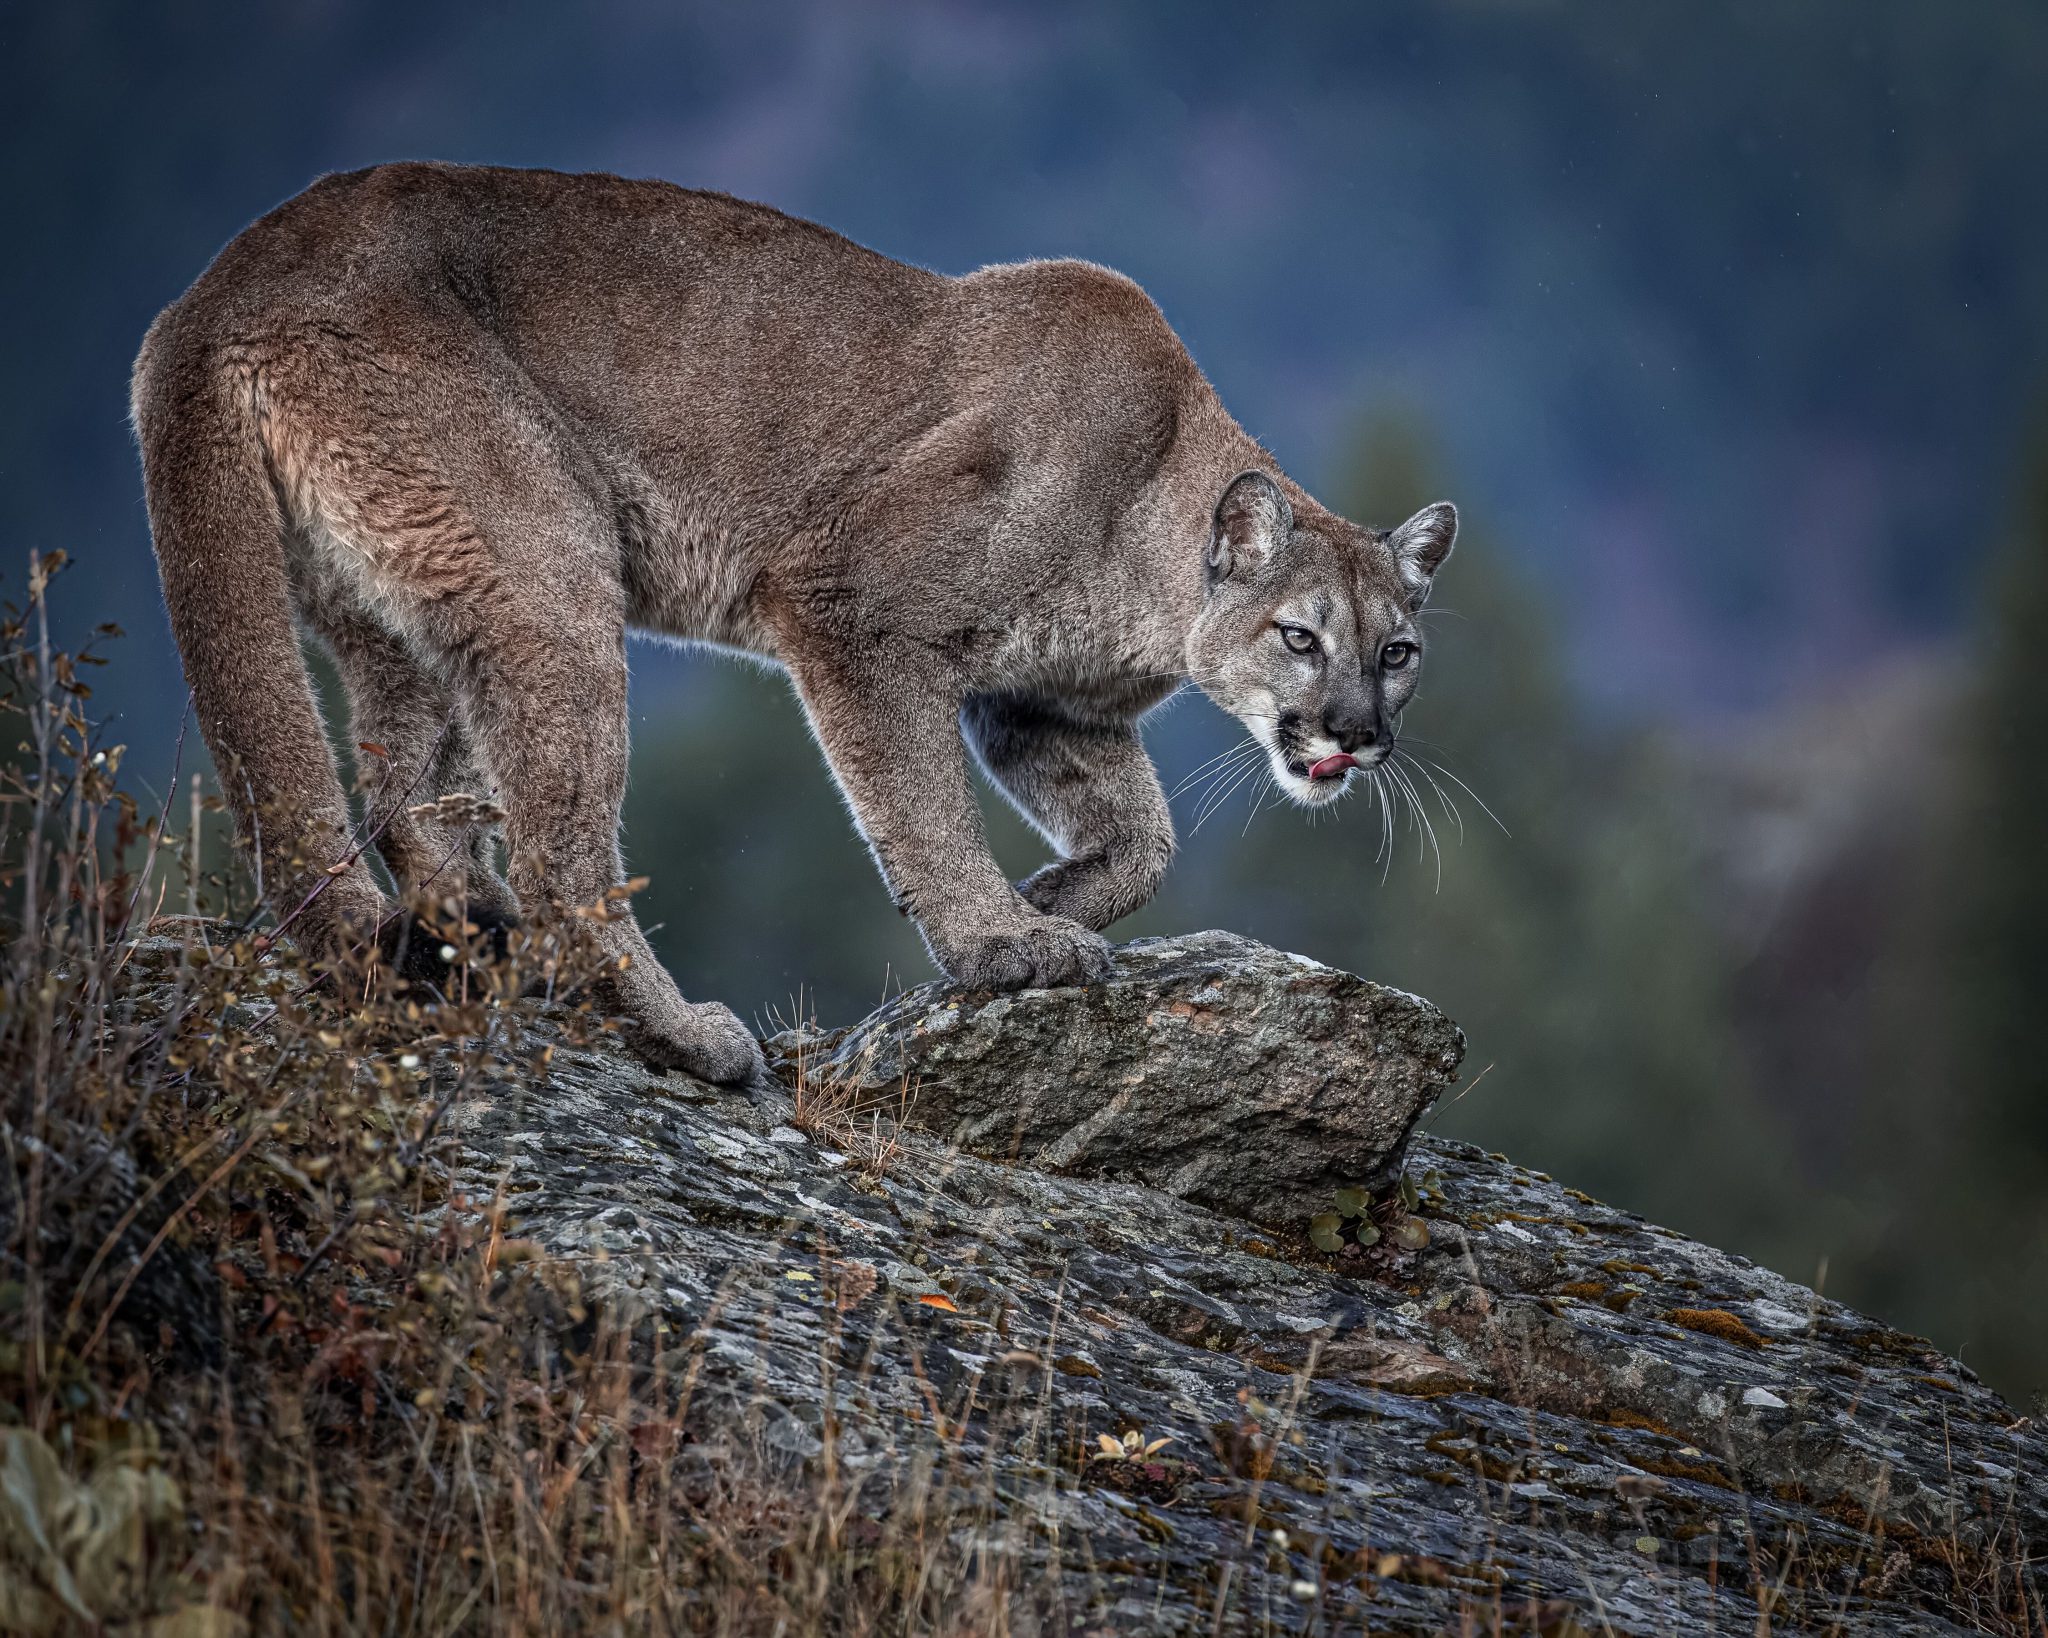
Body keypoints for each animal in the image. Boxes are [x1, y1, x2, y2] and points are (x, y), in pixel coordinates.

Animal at [136, 165, 1458, 1089]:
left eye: (1396, 654)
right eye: (1299, 637)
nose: (1356, 732)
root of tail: (215, 287)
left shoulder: (1041, 705)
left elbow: (1144, 840)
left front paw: (1051, 898)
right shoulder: (851, 606)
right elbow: (917, 803)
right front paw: (1000, 940)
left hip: (402, 612)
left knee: (405, 792)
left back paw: (469, 935)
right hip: (547, 561)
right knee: (563, 855)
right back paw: (683, 1034)